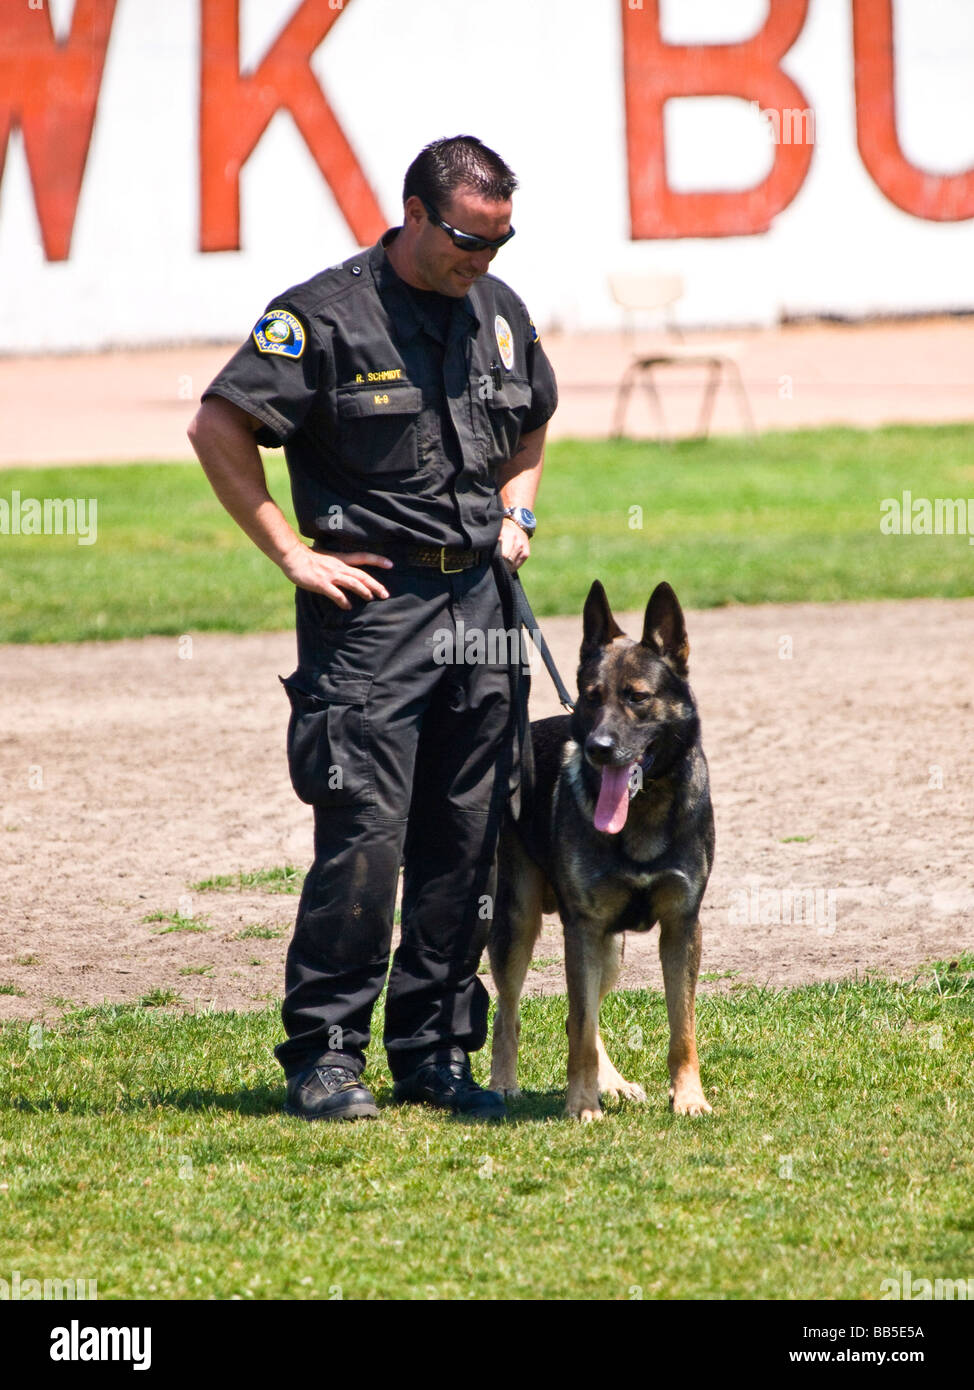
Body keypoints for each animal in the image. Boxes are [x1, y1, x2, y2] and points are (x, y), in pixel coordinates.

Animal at [489, 581, 711, 1123]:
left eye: (638, 697)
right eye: (591, 698)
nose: (597, 747)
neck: (643, 812)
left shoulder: (681, 928)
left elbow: (683, 1029)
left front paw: (689, 1097)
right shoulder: (584, 929)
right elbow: (580, 1030)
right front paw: (581, 1105)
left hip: (609, 951)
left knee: (580, 1019)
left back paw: (613, 1083)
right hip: (519, 923)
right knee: (511, 1011)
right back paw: (504, 1084)